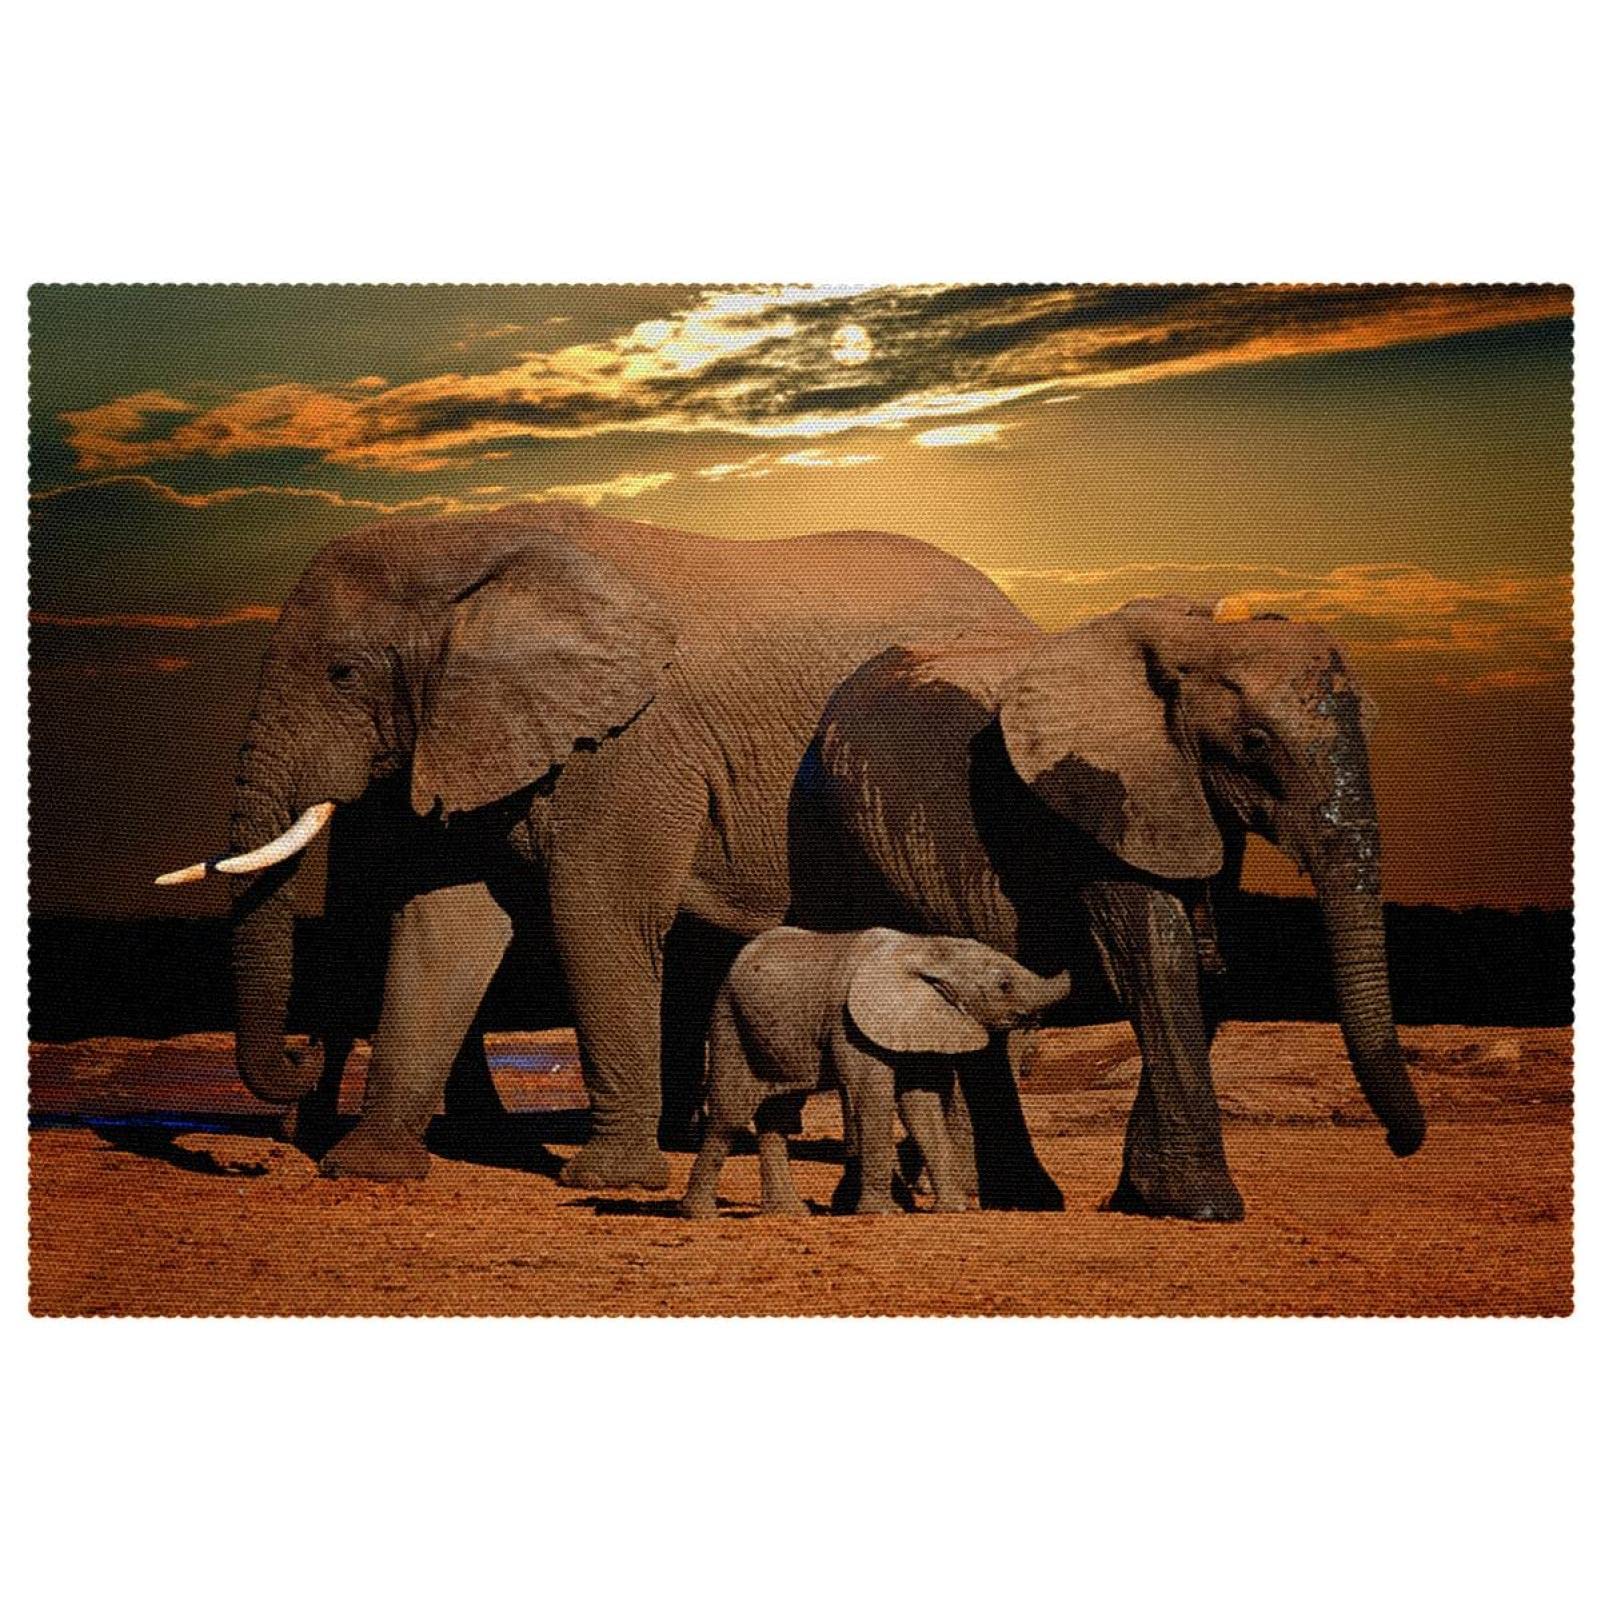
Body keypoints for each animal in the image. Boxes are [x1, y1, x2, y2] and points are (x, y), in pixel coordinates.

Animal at [155, 502, 1027, 1188]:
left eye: (342, 673)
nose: (297, 1056)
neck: (468, 543)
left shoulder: (633, 742)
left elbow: (596, 915)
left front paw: (612, 1181)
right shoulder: (476, 728)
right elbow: (441, 928)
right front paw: (365, 1169)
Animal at [679, 927, 1072, 1217]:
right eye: (1004, 985)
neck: (926, 949)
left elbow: (921, 1106)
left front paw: (955, 1210)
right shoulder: (850, 1023)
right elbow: (873, 1097)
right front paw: (882, 1213)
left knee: (779, 1114)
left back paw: (790, 1214)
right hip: (728, 1020)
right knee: (730, 1116)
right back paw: (700, 1215)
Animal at [788, 596, 1427, 1222]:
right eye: (1255, 741)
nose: (1399, 1144)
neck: (1198, 638)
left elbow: (1209, 964)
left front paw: (1140, 1198)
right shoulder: (1094, 804)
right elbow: (1159, 958)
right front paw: (1204, 1207)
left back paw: (1026, 1200)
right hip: (829, 834)